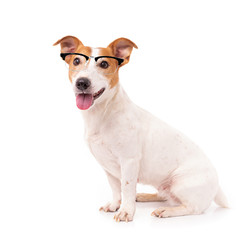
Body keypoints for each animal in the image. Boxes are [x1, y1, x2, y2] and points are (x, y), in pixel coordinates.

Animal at [53, 35, 228, 221]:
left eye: (104, 64)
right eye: (76, 61)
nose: (82, 82)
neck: (102, 114)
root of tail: (218, 186)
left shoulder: (129, 161)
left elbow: (126, 188)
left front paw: (126, 211)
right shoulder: (107, 167)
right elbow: (116, 189)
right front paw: (115, 205)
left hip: (181, 182)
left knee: (192, 208)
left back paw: (166, 211)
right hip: (165, 185)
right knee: (164, 195)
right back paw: (145, 196)